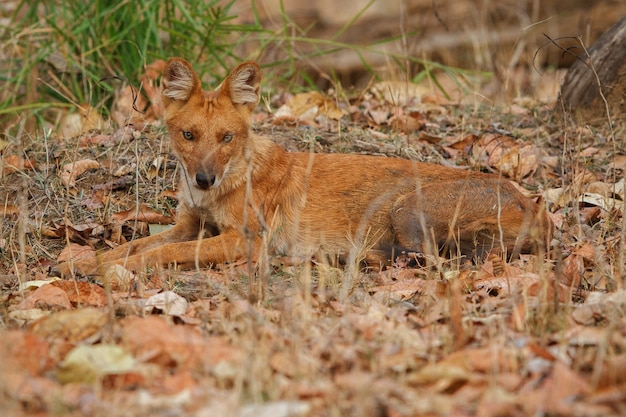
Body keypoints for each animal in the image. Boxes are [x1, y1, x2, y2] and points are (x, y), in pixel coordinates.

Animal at [56, 56, 548, 276]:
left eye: (227, 138)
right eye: (189, 135)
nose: (203, 178)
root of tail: (534, 204)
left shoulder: (245, 240)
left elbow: (160, 253)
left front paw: (103, 269)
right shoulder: (189, 225)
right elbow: (137, 244)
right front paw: (86, 262)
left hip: (404, 208)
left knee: (426, 257)